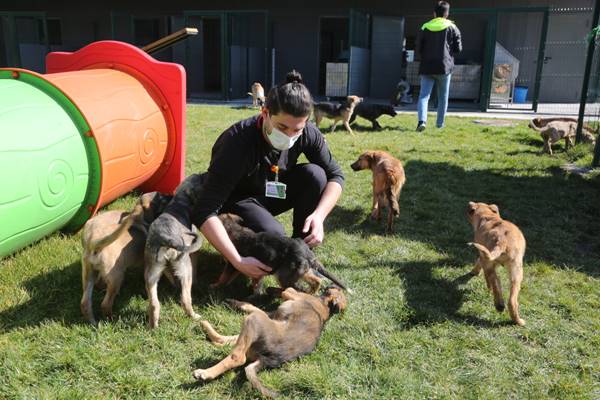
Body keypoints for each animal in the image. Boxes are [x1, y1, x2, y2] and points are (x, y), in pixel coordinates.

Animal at [144, 174, 205, 328]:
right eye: (200, 179)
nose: (205, 174)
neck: (179, 201)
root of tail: (166, 238)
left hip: (152, 273)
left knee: (154, 304)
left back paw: (153, 326)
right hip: (185, 268)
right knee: (185, 299)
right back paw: (195, 316)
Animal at [192, 286, 346, 398]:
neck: (326, 307)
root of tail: (267, 360)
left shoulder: (291, 295)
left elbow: (287, 288)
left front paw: (271, 289)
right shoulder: (271, 314)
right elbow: (251, 305)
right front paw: (238, 302)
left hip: (255, 320)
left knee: (238, 357)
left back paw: (205, 373)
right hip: (256, 327)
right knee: (226, 340)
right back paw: (206, 327)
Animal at [213, 212, 350, 294]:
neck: (235, 229)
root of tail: (308, 254)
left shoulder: (232, 264)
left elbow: (224, 276)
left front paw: (215, 286)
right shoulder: (241, 266)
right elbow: (247, 279)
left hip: (284, 276)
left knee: (294, 289)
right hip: (302, 271)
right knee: (316, 280)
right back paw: (312, 293)